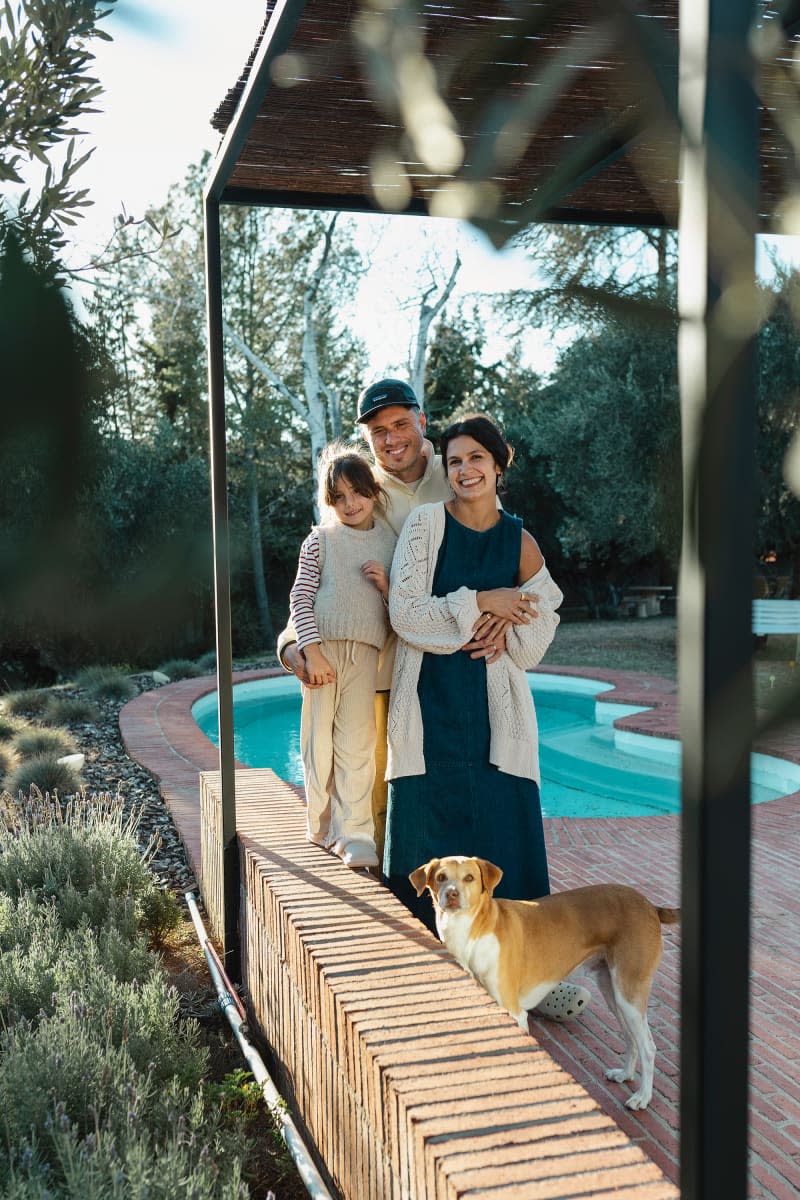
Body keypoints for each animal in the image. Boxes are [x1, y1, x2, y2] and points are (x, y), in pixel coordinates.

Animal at [410, 859, 681, 1108]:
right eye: (441, 877)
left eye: (469, 878)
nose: (451, 894)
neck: (472, 933)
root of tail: (650, 905)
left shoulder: (514, 1013)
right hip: (613, 993)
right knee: (631, 1038)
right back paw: (625, 1074)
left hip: (629, 994)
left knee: (648, 1047)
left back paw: (643, 1097)